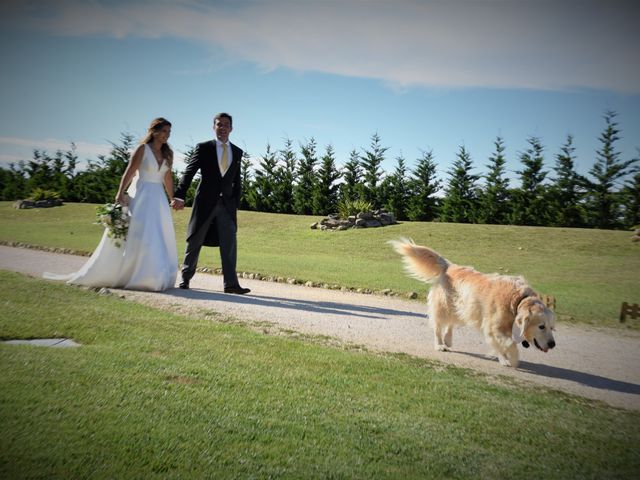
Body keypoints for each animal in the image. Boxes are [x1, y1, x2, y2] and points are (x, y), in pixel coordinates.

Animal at [390, 239, 556, 368]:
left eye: (551, 327)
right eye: (541, 326)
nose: (552, 344)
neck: (517, 300)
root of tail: (449, 265)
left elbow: (505, 344)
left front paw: (505, 358)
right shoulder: (493, 327)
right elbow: (509, 344)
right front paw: (510, 360)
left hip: (461, 307)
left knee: (451, 323)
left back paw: (448, 340)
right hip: (443, 307)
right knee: (438, 326)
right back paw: (440, 345)